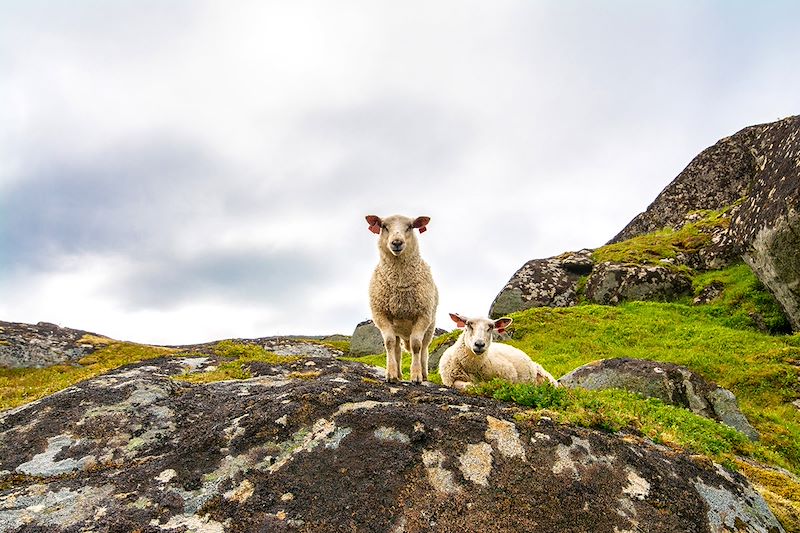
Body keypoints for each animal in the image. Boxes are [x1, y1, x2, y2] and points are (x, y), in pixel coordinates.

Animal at [368, 213, 438, 382]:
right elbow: (389, 343)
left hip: (430, 326)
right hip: (397, 328)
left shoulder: (423, 315)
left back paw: (424, 374)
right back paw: (399, 374)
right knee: (397, 348)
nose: (397, 242)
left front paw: (416, 375)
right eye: (384, 226)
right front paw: (391, 374)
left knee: (424, 348)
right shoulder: (381, 314)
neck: (399, 283)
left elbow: (416, 345)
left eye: (410, 226)